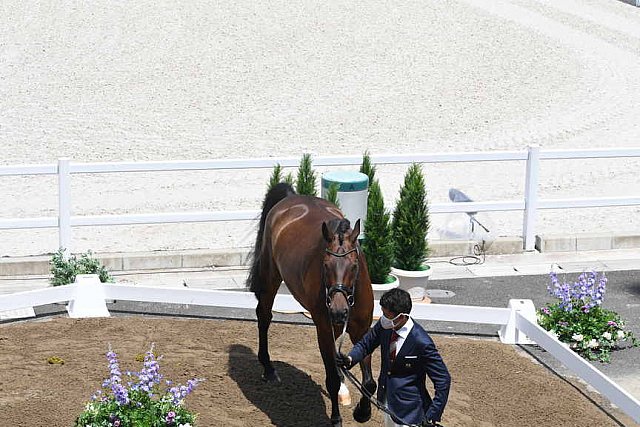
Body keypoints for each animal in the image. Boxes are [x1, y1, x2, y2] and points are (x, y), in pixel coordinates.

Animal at [245, 183, 376, 427]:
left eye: (355, 265)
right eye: (325, 265)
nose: (338, 311)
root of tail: (292, 198)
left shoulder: (362, 330)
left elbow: (369, 382)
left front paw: (362, 412)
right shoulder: (323, 330)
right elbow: (331, 380)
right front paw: (336, 419)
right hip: (270, 277)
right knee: (264, 316)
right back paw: (268, 369)